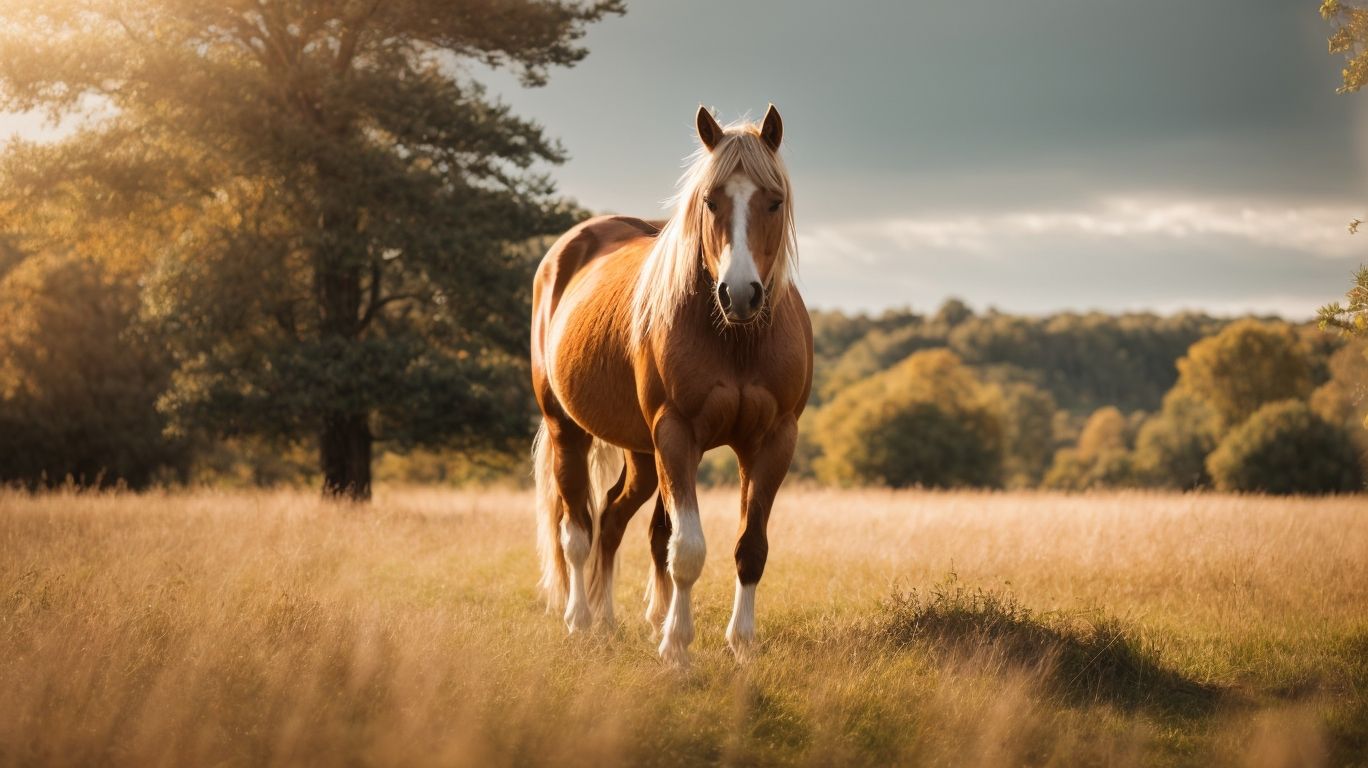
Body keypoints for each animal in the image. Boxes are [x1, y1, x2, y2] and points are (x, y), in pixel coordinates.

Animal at [530, 104, 812, 665]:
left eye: (774, 201)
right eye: (710, 200)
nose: (739, 295)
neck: (737, 339)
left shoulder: (773, 441)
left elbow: (750, 548)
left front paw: (742, 645)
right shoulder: (677, 435)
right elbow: (686, 549)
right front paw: (677, 646)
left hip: (641, 455)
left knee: (612, 520)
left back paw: (608, 620)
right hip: (568, 431)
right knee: (577, 531)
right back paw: (580, 621)